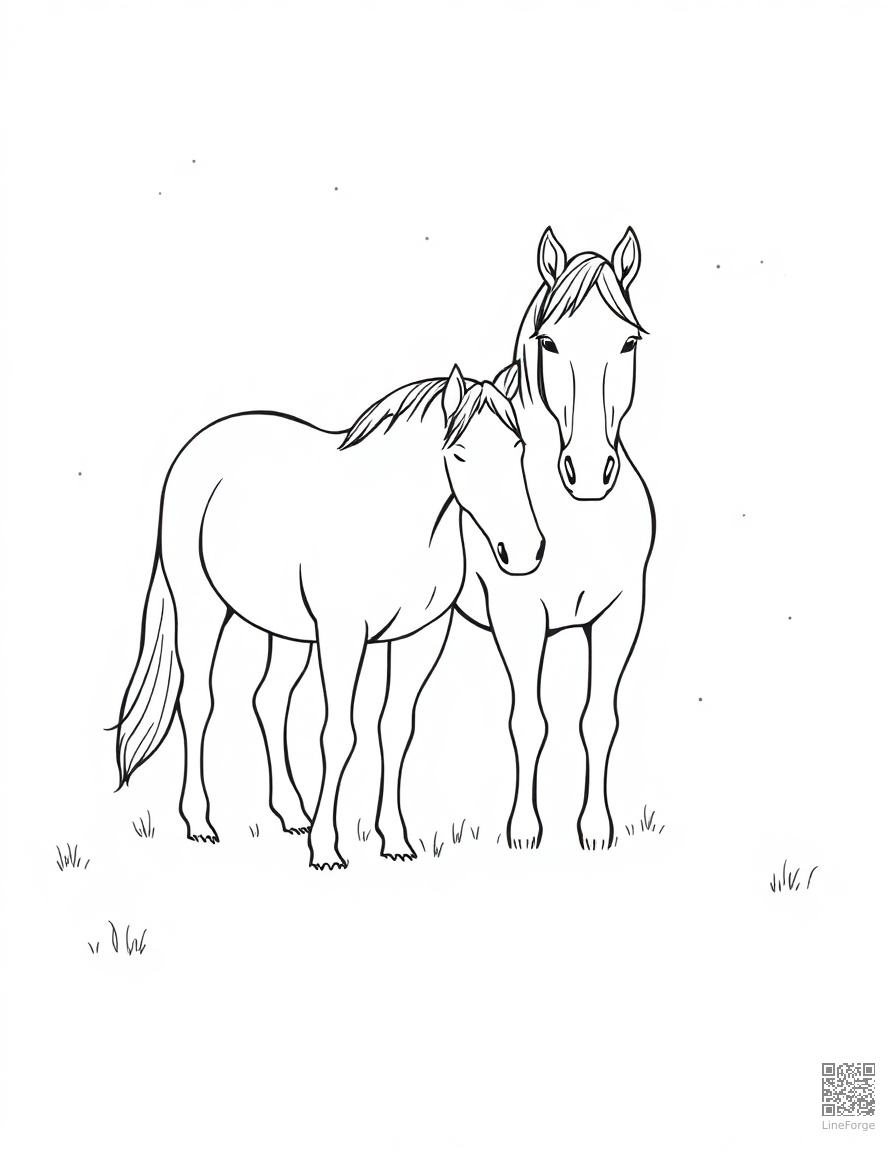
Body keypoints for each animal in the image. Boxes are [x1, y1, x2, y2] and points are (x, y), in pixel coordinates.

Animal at [114, 363, 544, 869]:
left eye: (517, 446)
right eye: (457, 454)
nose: (524, 552)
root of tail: (197, 446)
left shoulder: (422, 638)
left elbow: (394, 730)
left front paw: (395, 841)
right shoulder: (342, 636)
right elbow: (338, 735)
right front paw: (326, 849)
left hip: (286, 630)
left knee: (270, 700)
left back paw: (291, 813)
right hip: (200, 605)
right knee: (197, 701)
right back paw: (201, 823)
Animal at [456, 226, 656, 851]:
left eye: (628, 342)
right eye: (548, 342)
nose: (589, 475)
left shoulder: (621, 613)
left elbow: (599, 719)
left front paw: (595, 829)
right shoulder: (518, 618)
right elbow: (529, 721)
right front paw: (525, 830)